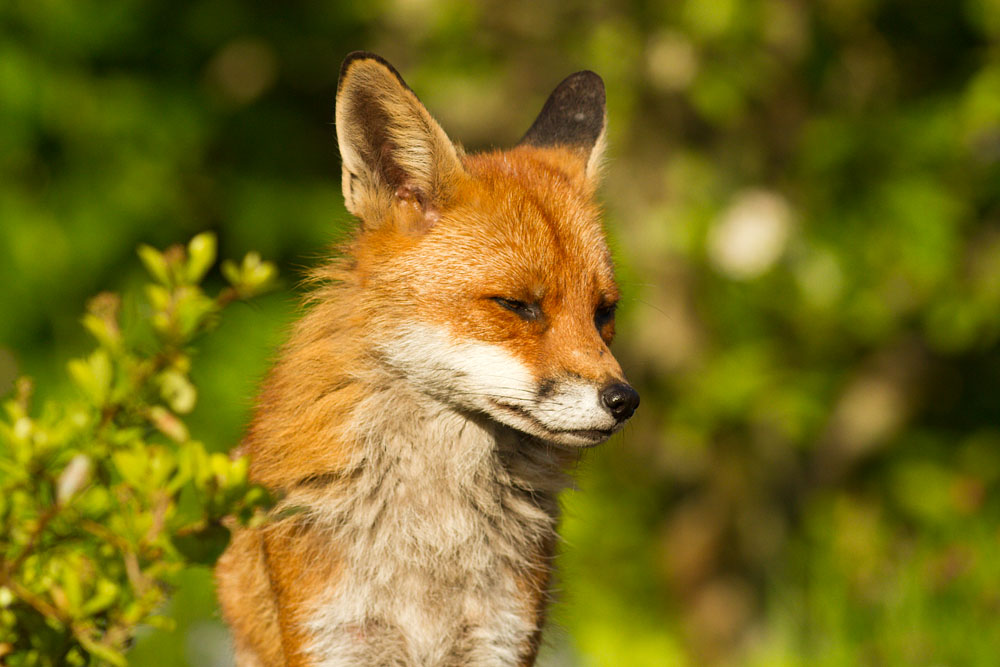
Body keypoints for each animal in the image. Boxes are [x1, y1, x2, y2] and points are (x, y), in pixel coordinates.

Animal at [215, 51, 639, 667]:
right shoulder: (332, 635)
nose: (625, 401)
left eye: (604, 312)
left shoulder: (501, 638)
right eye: (518, 305)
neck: (432, 539)